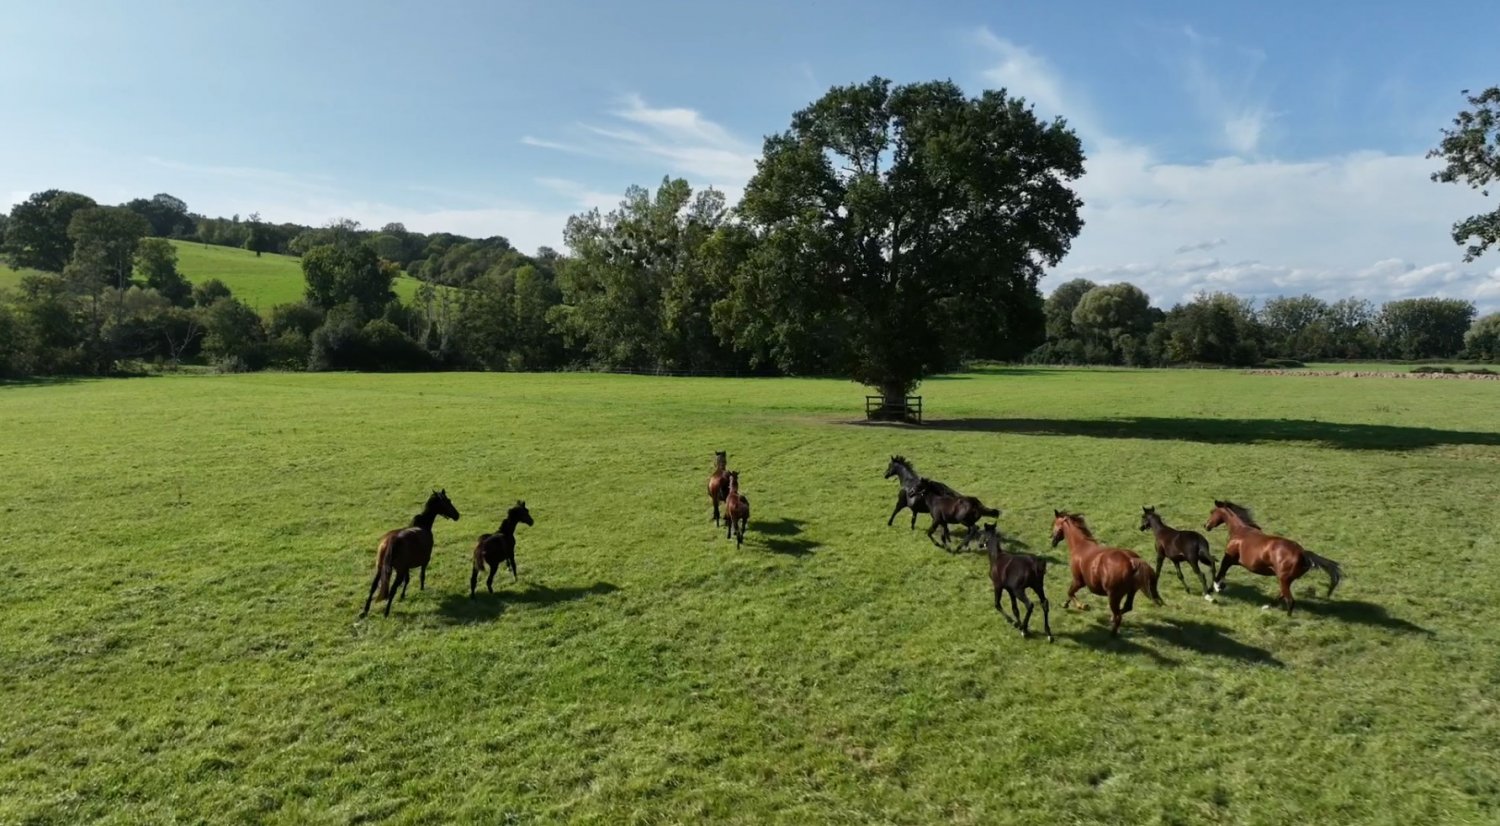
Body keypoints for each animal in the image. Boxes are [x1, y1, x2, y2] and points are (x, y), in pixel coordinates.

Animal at [360, 489, 461, 618]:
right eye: (447, 501)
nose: (457, 515)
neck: (423, 525)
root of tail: (392, 540)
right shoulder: (425, 560)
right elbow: (422, 576)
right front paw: (422, 589)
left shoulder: (406, 567)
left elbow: (407, 580)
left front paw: (403, 595)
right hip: (398, 571)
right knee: (392, 589)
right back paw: (386, 612)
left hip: (380, 567)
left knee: (373, 587)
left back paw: (365, 611)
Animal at [1205, 500, 1342, 614]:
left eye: (1212, 511)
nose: (1206, 526)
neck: (1240, 531)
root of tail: (1303, 553)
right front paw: (1220, 587)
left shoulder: (1229, 559)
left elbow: (1220, 573)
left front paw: (1217, 588)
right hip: (1286, 579)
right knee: (1282, 595)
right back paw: (1267, 607)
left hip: (1283, 578)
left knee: (1290, 600)